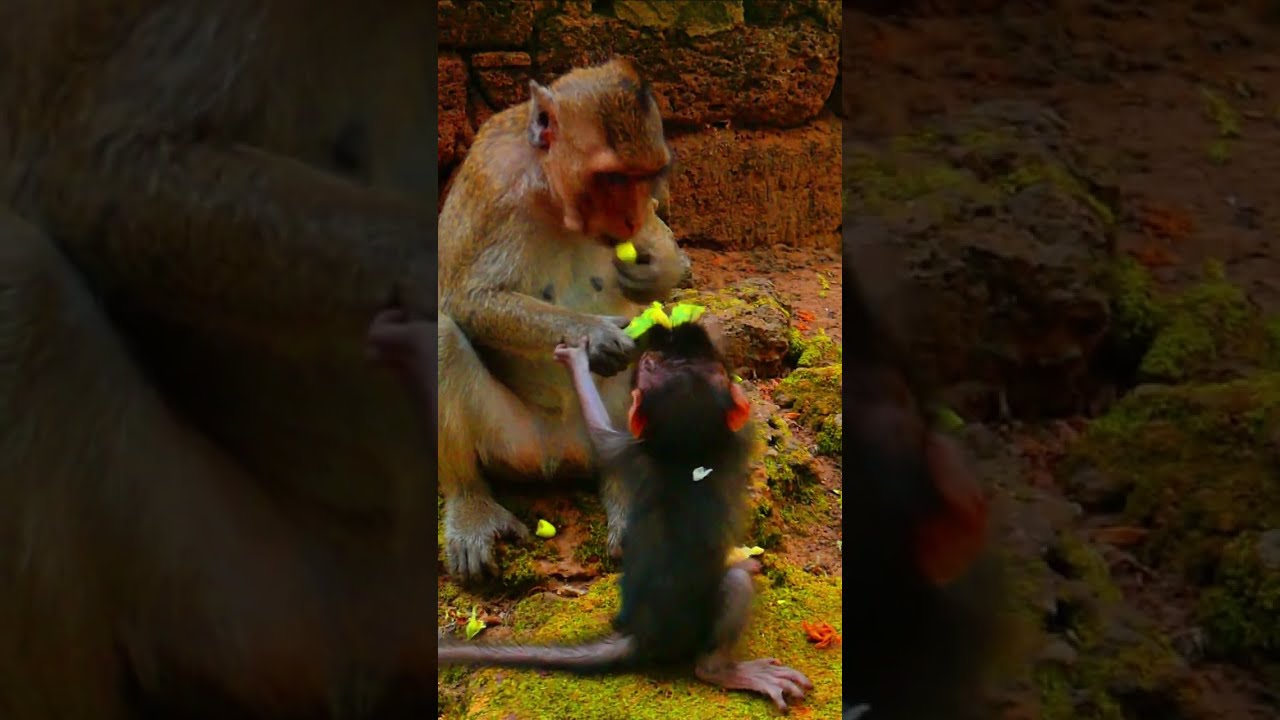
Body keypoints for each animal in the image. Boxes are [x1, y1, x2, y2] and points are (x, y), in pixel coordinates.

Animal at [433, 321, 814, 712]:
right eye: (650, 362)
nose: (685, 330)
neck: (685, 446)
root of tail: (640, 636)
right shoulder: (702, 444)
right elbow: (601, 432)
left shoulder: (634, 450)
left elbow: (601, 435)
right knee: (733, 592)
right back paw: (727, 665)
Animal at [438, 57, 689, 581]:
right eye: (612, 178)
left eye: (647, 176)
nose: (631, 220)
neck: (549, 192)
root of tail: (562, 451)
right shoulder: (492, 183)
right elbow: (465, 299)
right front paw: (593, 336)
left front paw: (656, 267)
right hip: (512, 440)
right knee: (444, 336)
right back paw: (470, 504)